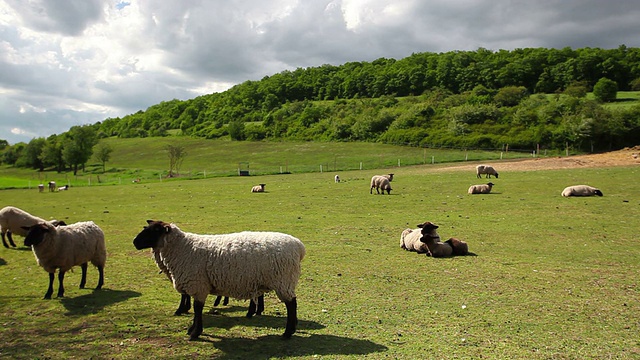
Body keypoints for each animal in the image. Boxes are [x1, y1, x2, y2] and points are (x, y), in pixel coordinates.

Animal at [132, 219, 304, 340]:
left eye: (155, 230)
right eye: (146, 228)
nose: (134, 242)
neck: (182, 248)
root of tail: (298, 245)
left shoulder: (198, 284)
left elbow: (197, 309)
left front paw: (195, 332)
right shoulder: (196, 285)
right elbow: (196, 307)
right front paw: (192, 328)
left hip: (283, 280)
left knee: (291, 304)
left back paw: (287, 333)